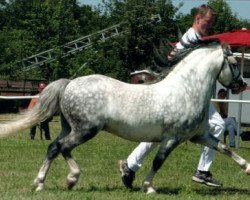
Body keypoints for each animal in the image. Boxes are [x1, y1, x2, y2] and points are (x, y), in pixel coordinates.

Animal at [0, 41, 248, 194]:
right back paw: (71, 179)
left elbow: (225, 149)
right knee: (63, 148)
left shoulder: (199, 136)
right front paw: (148, 187)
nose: (241, 85)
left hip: (68, 128)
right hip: (85, 130)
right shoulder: (172, 138)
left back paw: (40, 183)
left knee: (53, 147)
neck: (187, 91)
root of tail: (69, 83)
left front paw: (247, 169)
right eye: (235, 64)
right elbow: (158, 161)